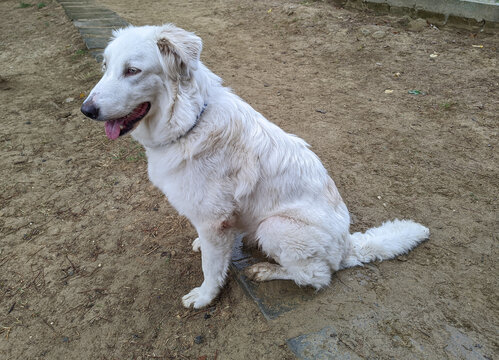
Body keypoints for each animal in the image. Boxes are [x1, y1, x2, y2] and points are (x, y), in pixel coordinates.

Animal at [81, 23, 430, 308]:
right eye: (105, 67)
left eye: (132, 70)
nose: (86, 110)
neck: (190, 121)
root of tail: (347, 246)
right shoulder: (215, 220)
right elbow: (212, 250)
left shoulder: (214, 220)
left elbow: (211, 267)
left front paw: (205, 297)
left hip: (275, 226)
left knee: (316, 276)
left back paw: (268, 269)